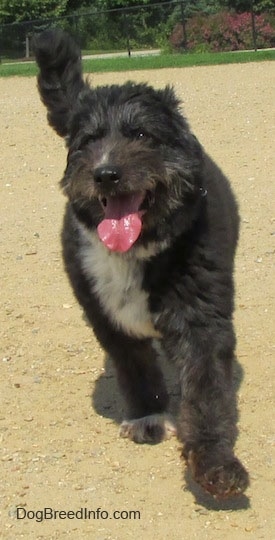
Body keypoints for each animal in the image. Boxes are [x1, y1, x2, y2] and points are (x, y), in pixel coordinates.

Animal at [34, 29, 250, 500]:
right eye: (88, 141)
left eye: (141, 133)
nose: (105, 173)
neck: (135, 251)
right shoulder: (108, 318)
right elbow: (137, 370)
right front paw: (149, 417)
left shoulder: (201, 318)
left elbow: (207, 390)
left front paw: (214, 460)